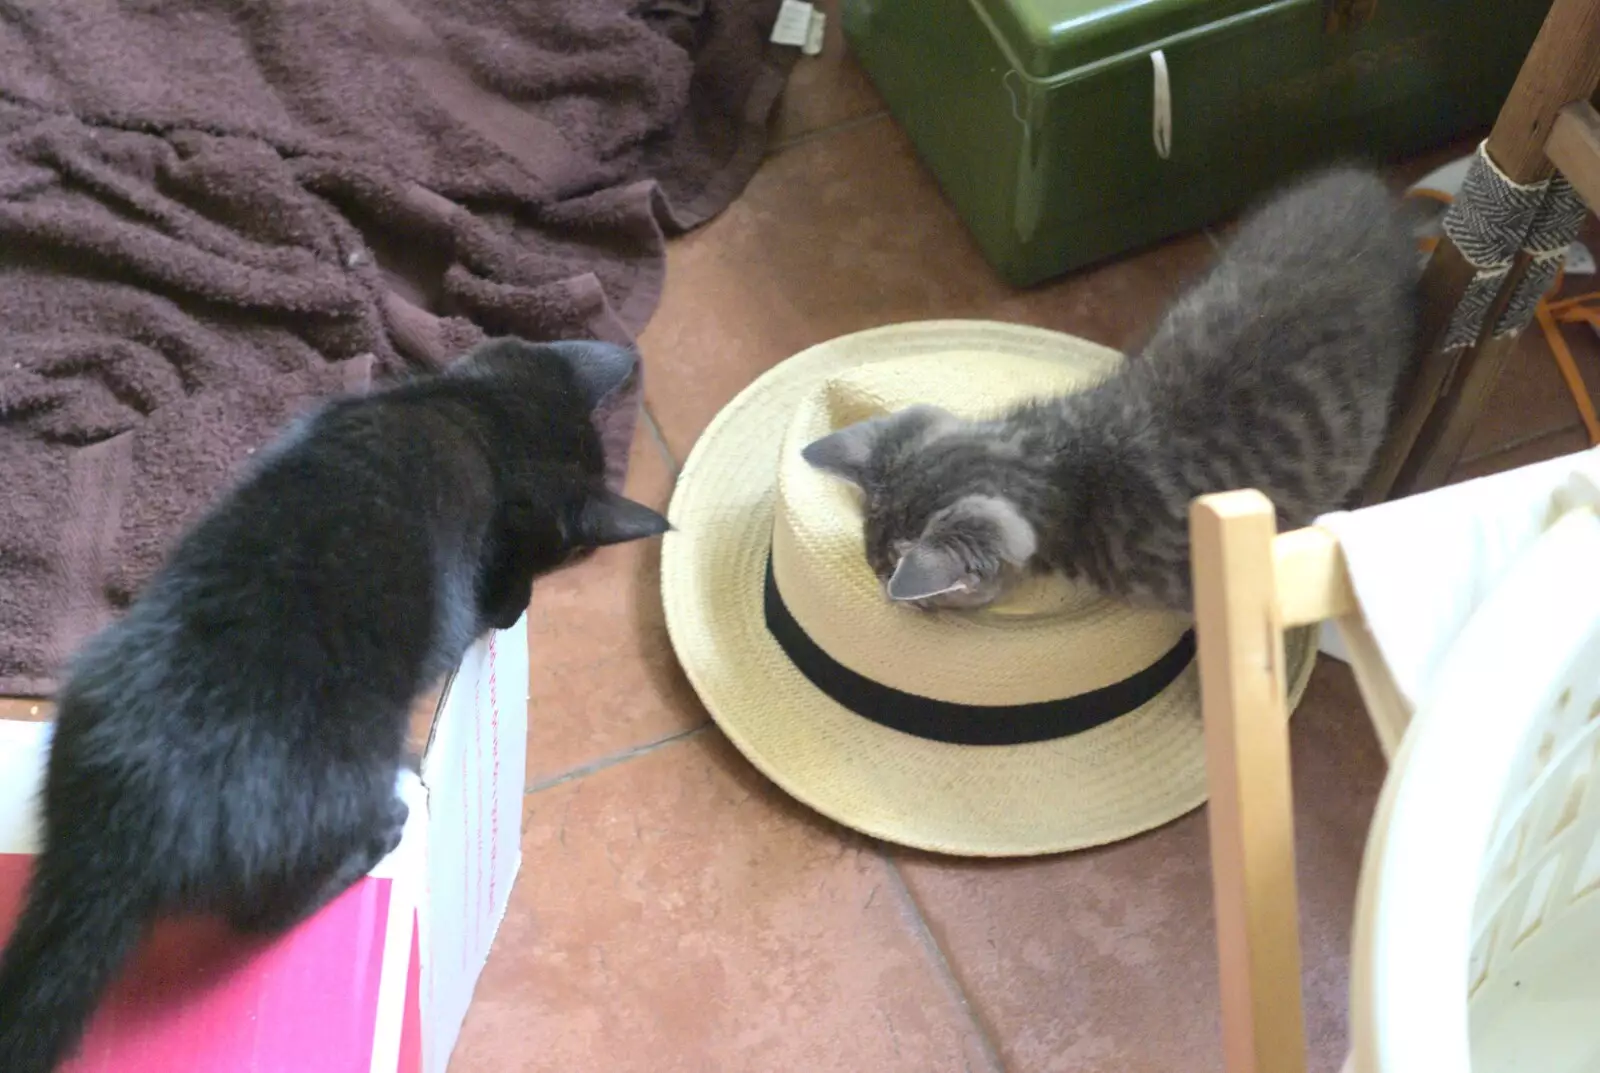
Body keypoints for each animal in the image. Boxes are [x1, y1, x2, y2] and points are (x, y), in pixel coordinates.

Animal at [0, 337, 668, 1073]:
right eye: (547, 561)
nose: (519, 608)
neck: (474, 414)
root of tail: (120, 824)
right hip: (350, 777)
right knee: (262, 915)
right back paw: (380, 835)